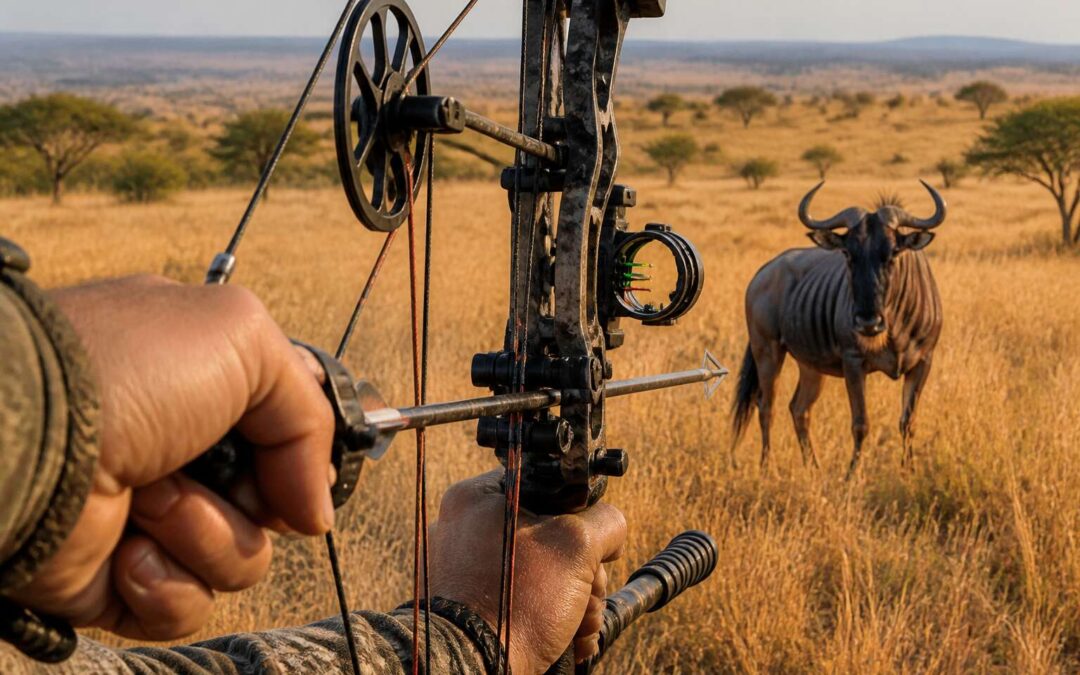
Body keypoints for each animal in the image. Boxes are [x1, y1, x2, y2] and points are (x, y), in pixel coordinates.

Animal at [731, 181, 946, 478]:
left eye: (892, 253)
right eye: (848, 253)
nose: (868, 322)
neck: (894, 327)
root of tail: (762, 273)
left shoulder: (923, 362)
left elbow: (908, 422)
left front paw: (909, 471)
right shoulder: (853, 363)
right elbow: (861, 423)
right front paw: (851, 475)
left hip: (810, 366)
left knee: (799, 409)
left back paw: (813, 468)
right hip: (767, 352)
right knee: (766, 407)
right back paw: (767, 468)